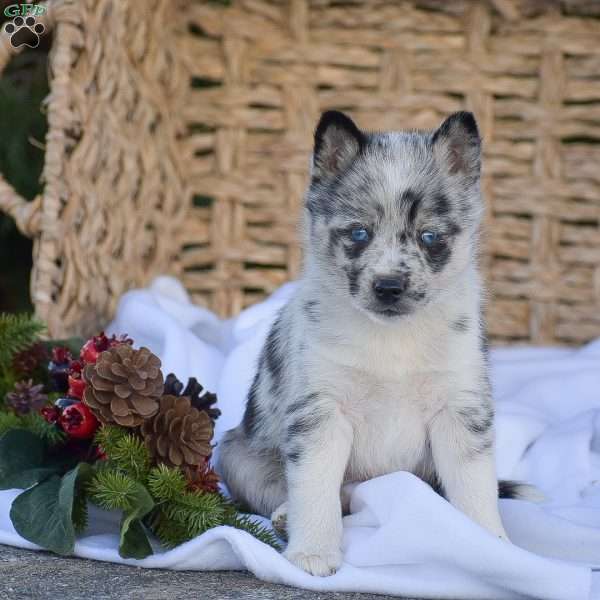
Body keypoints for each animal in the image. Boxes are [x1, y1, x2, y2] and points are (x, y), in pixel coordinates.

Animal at [217, 111, 528, 576]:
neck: (393, 339)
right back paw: (287, 516)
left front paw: (492, 546)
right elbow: (315, 487)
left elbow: (474, 488)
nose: (389, 287)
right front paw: (313, 552)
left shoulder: (459, 409)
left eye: (430, 237)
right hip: (236, 455)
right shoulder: (321, 412)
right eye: (359, 233)